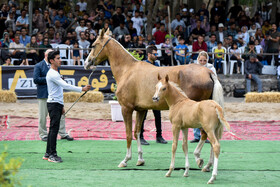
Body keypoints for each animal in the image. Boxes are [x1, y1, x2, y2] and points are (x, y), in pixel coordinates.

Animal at [83, 29, 223, 168]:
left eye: (94, 45)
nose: (86, 63)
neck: (128, 70)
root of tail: (209, 72)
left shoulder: (126, 108)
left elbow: (128, 134)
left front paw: (126, 159)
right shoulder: (141, 110)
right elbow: (137, 132)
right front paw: (140, 159)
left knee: (205, 134)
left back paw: (199, 158)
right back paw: (208, 164)